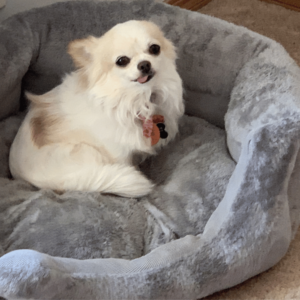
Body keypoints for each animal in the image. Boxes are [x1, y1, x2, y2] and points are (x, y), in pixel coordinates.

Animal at [9, 19, 184, 198]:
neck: (138, 100)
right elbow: (128, 164)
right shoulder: (118, 153)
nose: (144, 64)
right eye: (122, 61)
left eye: (154, 49)